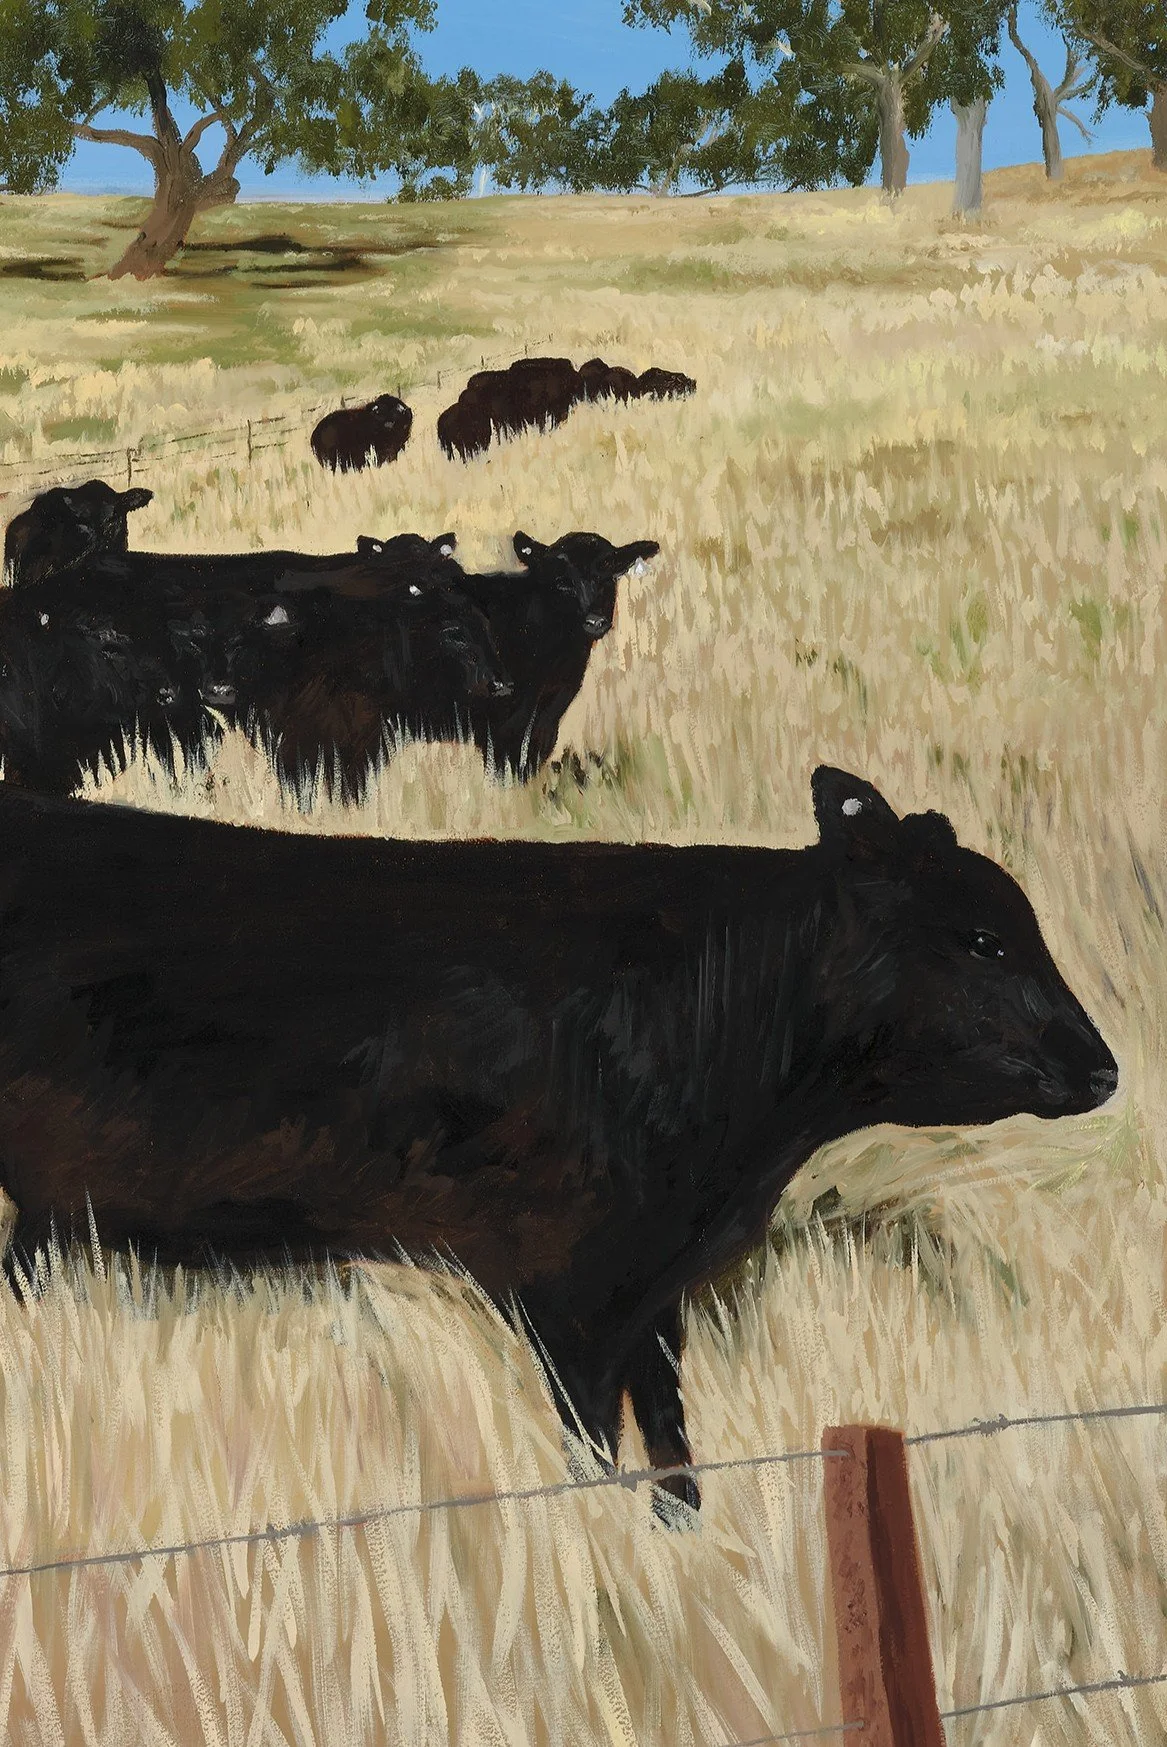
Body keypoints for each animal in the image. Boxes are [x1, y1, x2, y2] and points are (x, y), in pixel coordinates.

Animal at [0, 768, 1118, 1519]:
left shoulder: (652, 1289)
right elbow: (594, 1452)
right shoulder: (565, 1290)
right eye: (983, 940)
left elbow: (672, 1449)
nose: (1104, 1069)